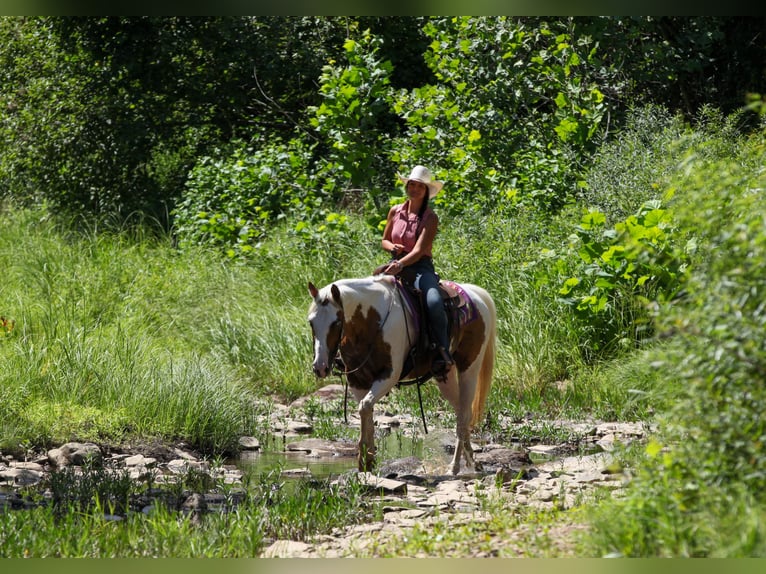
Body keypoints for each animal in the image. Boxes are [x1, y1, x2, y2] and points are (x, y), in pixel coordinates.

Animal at [307, 274, 496, 475]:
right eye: (311, 322)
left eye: (336, 322)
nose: (320, 367)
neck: (371, 322)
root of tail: (475, 293)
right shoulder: (357, 380)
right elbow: (366, 410)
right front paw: (367, 461)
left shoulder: (389, 375)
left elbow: (365, 406)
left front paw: (366, 458)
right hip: (445, 375)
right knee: (461, 411)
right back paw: (471, 462)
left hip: (470, 367)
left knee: (465, 413)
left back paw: (455, 467)